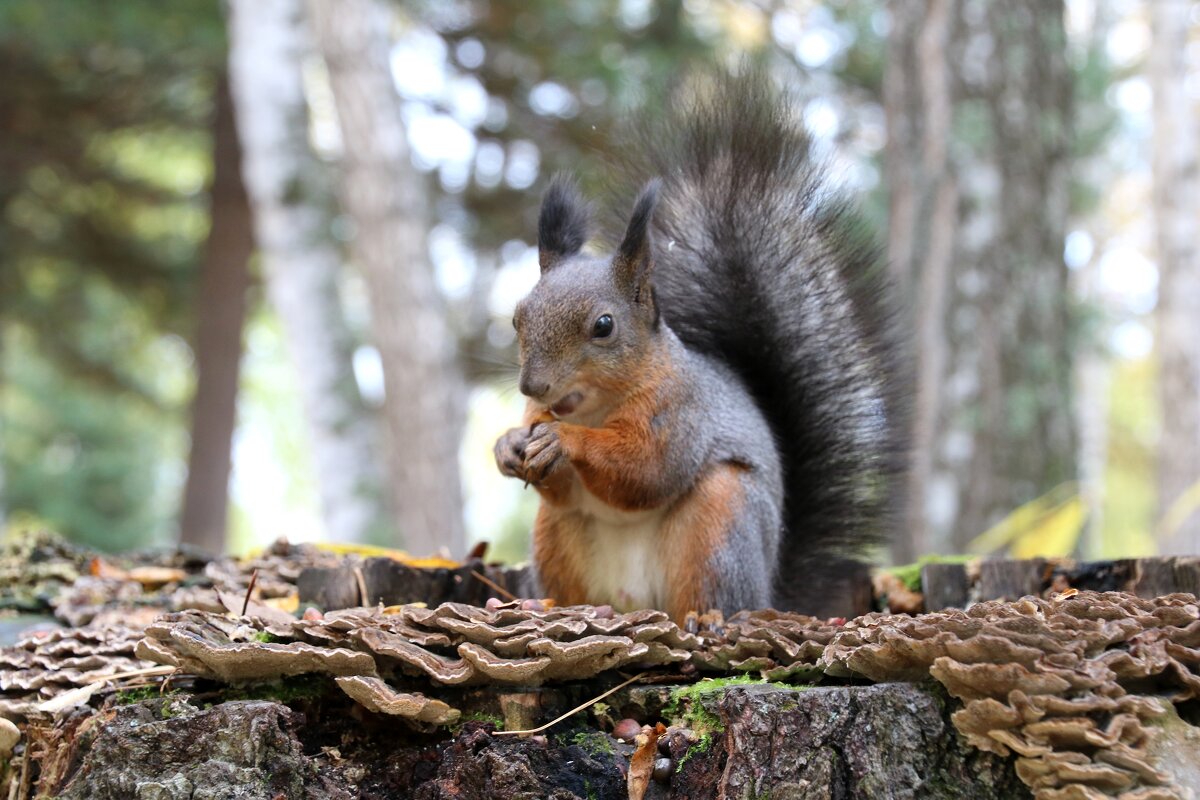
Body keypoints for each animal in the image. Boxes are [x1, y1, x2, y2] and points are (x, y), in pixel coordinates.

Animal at [492, 70, 902, 618]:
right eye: (518, 317)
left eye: (604, 325)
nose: (532, 386)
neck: (592, 408)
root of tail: (769, 592)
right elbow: (560, 487)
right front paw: (509, 445)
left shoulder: (681, 414)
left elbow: (646, 470)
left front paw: (564, 441)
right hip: (555, 539)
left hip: (720, 521)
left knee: (713, 591)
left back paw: (705, 621)